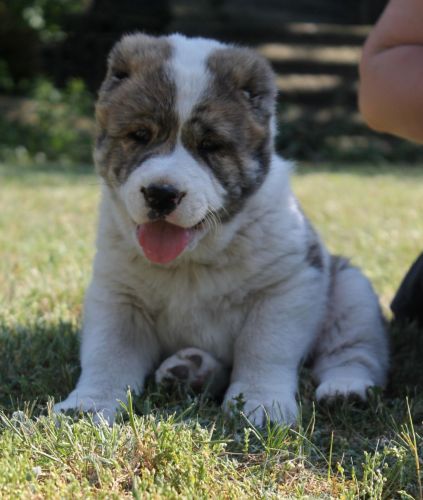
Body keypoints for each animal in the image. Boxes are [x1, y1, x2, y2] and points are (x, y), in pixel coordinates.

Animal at [54, 33, 389, 425]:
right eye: (139, 135)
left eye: (210, 146)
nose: (161, 193)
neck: (192, 263)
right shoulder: (118, 295)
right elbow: (109, 354)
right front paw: (88, 404)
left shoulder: (286, 286)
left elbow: (264, 349)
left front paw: (261, 404)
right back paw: (191, 371)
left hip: (352, 291)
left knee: (353, 351)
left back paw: (346, 389)